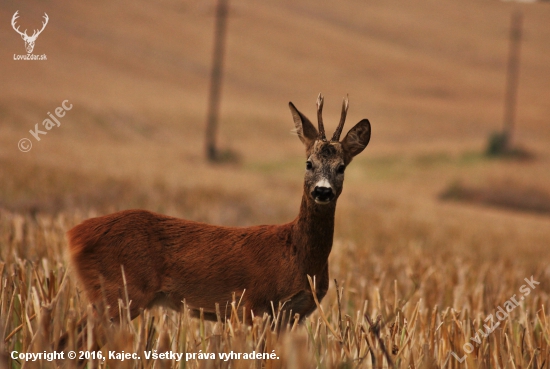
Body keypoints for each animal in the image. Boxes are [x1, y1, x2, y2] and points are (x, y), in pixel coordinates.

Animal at [68, 93, 370, 330]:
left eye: (341, 167)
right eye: (308, 163)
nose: (322, 191)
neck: (297, 257)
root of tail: (74, 234)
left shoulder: (290, 315)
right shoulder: (253, 304)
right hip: (118, 292)